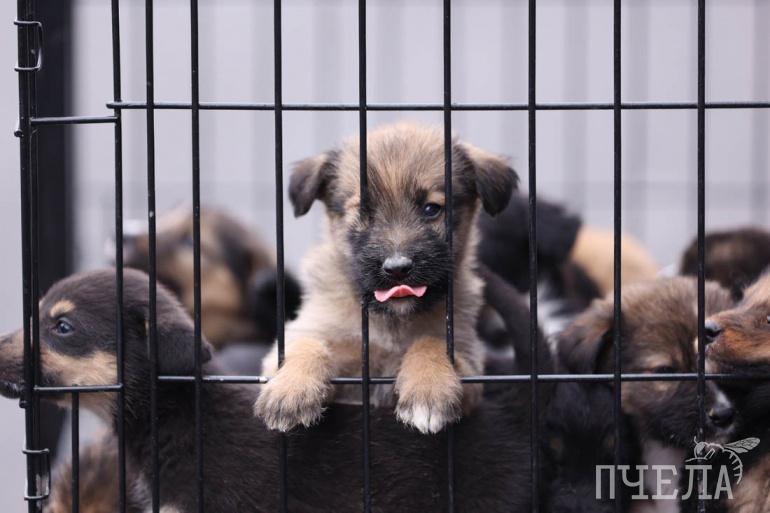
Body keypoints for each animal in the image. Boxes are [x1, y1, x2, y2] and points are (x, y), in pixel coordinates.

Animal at [254, 122, 517, 434]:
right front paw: (290, 389)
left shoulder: (470, 365)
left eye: (431, 209)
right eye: (362, 211)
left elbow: (431, 342)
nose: (397, 268)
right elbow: (307, 344)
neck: (390, 321)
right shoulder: (315, 339)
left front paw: (428, 389)